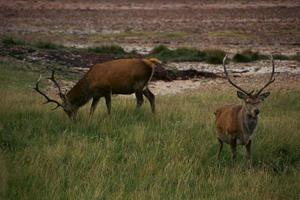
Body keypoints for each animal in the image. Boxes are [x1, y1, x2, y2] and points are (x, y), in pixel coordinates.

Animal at [34, 57, 162, 120]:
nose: (72, 120)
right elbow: (92, 109)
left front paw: (109, 118)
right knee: (152, 97)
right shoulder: (96, 95)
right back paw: (154, 115)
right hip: (145, 85)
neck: (90, 84)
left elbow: (108, 106)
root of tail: (150, 63)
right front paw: (90, 119)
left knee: (140, 100)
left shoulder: (107, 89)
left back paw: (134, 114)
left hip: (138, 84)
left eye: (66, 109)